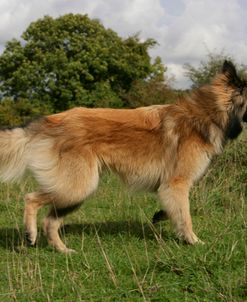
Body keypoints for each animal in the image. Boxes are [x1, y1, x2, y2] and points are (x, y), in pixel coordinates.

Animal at [0, 59, 247, 252]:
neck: (208, 113)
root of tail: (51, 121)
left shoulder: (169, 188)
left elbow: (175, 210)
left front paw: (160, 217)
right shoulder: (177, 183)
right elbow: (185, 216)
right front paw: (193, 241)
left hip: (75, 191)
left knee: (50, 221)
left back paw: (62, 250)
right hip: (76, 187)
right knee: (31, 199)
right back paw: (30, 233)